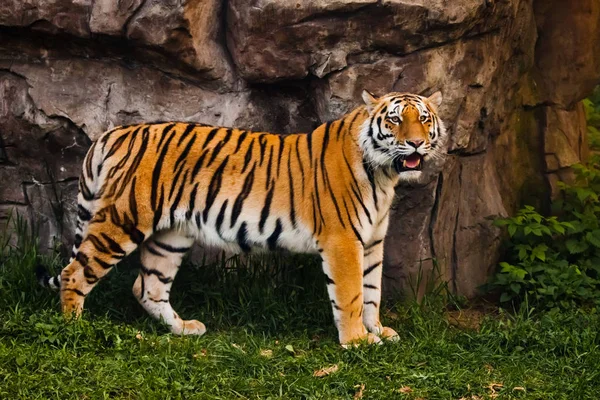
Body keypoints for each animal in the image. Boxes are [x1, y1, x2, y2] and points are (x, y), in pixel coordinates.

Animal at [36, 89, 446, 346]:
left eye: (424, 120)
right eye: (394, 120)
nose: (415, 142)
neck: (384, 174)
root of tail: (114, 132)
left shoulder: (372, 240)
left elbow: (372, 291)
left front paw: (378, 331)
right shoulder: (343, 240)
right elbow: (351, 293)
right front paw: (357, 341)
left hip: (171, 236)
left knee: (147, 286)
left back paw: (184, 329)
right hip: (122, 220)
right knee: (75, 273)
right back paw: (73, 330)